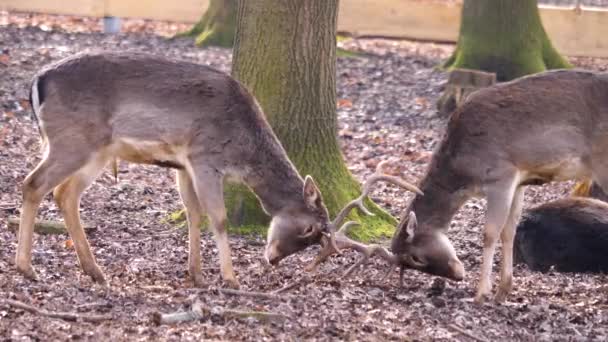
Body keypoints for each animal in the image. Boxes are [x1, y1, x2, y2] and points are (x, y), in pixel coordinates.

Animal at [15, 50, 422, 286]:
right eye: (309, 229)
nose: (273, 258)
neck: (243, 145)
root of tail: (36, 82)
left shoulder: (181, 164)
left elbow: (194, 213)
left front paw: (195, 274)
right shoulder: (204, 156)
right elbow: (219, 217)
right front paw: (229, 277)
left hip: (96, 150)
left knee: (64, 194)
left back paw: (93, 270)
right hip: (74, 140)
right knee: (34, 184)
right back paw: (27, 268)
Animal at [312, 68, 608, 304]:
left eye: (416, 258)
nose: (457, 274)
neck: (464, 171)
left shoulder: (501, 174)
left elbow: (490, 232)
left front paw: (480, 293)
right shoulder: (521, 180)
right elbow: (509, 231)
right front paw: (503, 291)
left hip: (602, 162)